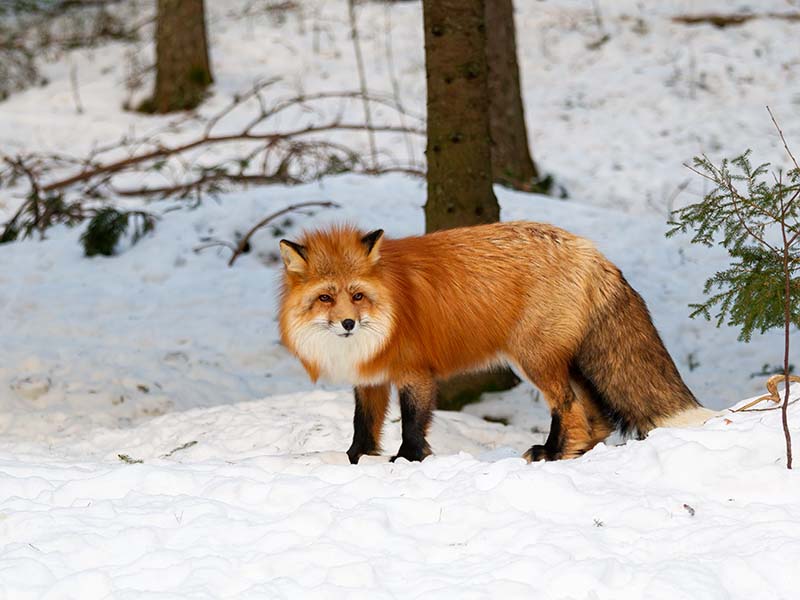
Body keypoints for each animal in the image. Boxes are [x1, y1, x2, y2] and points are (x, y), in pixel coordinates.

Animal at [278, 221, 714, 464]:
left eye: (357, 296)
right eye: (325, 298)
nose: (348, 324)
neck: (389, 306)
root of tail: (591, 251)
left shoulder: (415, 372)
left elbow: (413, 424)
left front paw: (407, 461)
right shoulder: (370, 377)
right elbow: (363, 426)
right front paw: (356, 460)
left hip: (533, 359)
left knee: (568, 407)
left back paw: (552, 453)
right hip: (567, 361)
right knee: (598, 418)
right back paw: (575, 452)